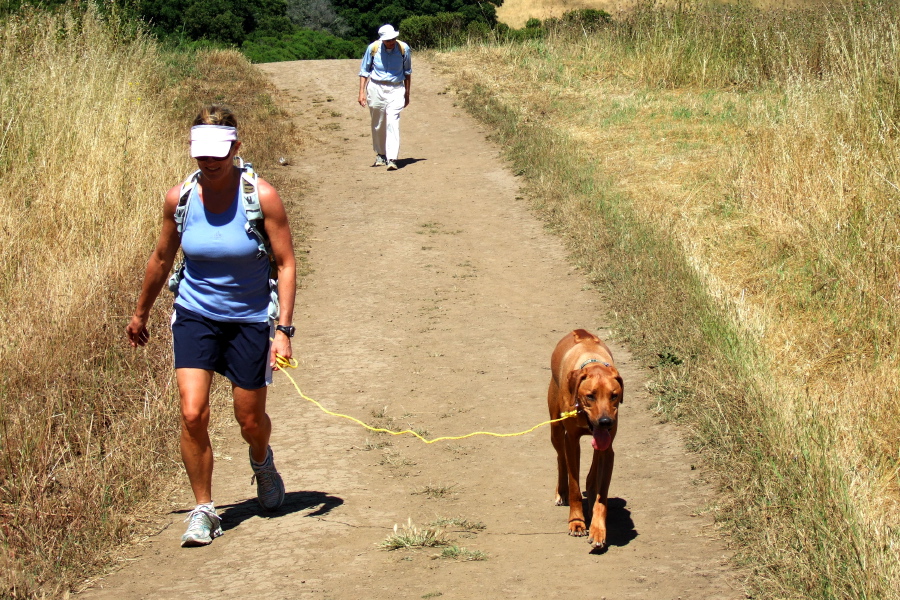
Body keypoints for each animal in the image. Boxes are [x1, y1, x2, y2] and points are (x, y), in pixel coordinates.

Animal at [544, 328, 624, 548]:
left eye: (614, 395)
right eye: (591, 395)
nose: (605, 421)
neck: (592, 362)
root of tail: (579, 332)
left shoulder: (608, 448)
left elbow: (601, 494)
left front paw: (598, 530)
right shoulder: (572, 441)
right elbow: (574, 487)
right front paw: (577, 522)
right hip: (555, 427)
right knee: (560, 458)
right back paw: (561, 492)